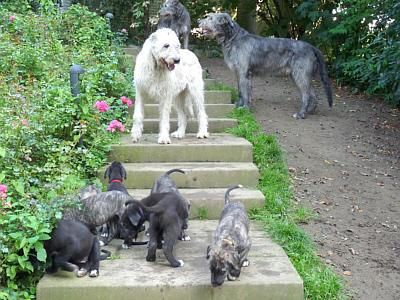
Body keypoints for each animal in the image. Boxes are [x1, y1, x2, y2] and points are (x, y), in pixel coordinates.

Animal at [198, 12, 332, 118]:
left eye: (210, 18)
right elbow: (241, 90)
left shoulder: (243, 72)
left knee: (306, 95)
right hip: (301, 76)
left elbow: (245, 92)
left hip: (300, 75)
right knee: (312, 94)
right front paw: (238, 105)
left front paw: (245, 109)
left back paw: (301, 114)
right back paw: (310, 111)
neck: (234, 38)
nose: (198, 21)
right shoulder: (239, 73)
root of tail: (311, 47)